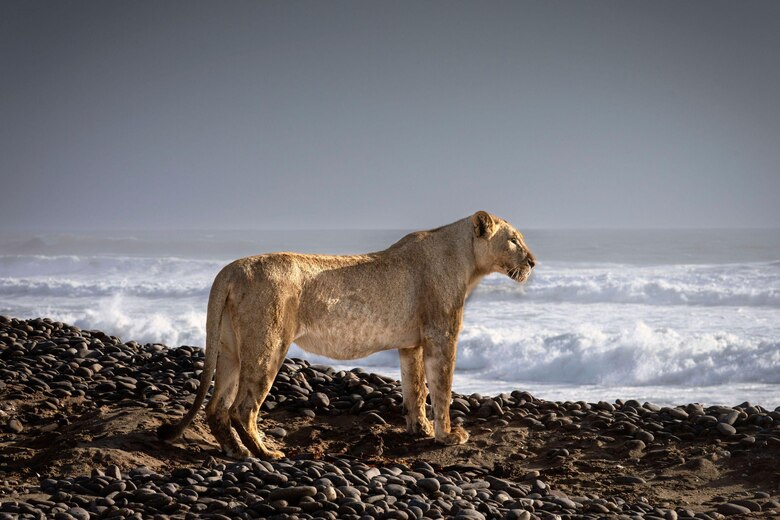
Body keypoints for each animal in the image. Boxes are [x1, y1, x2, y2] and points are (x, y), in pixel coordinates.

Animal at [158, 211, 535, 458]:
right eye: (514, 240)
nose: (533, 261)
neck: (466, 260)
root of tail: (230, 269)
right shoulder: (441, 336)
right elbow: (441, 389)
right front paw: (448, 436)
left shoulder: (411, 344)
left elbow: (414, 388)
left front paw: (421, 429)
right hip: (268, 344)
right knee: (242, 407)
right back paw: (266, 453)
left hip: (230, 347)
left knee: (216, 407)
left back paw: (235, 451)